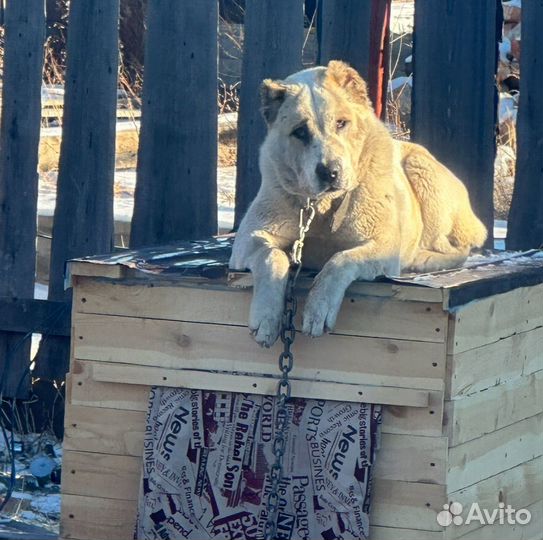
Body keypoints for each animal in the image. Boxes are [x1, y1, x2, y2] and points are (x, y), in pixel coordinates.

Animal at [231, 59, 488, 346]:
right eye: (300, 132)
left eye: (341, 123)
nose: (329, 172)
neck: (323, 207)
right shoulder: (250, 238)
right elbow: (272, 256)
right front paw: (266, 317)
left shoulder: (382, 243)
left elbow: (340, 260)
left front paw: (319, 309)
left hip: (422, 170)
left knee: (453, 247)